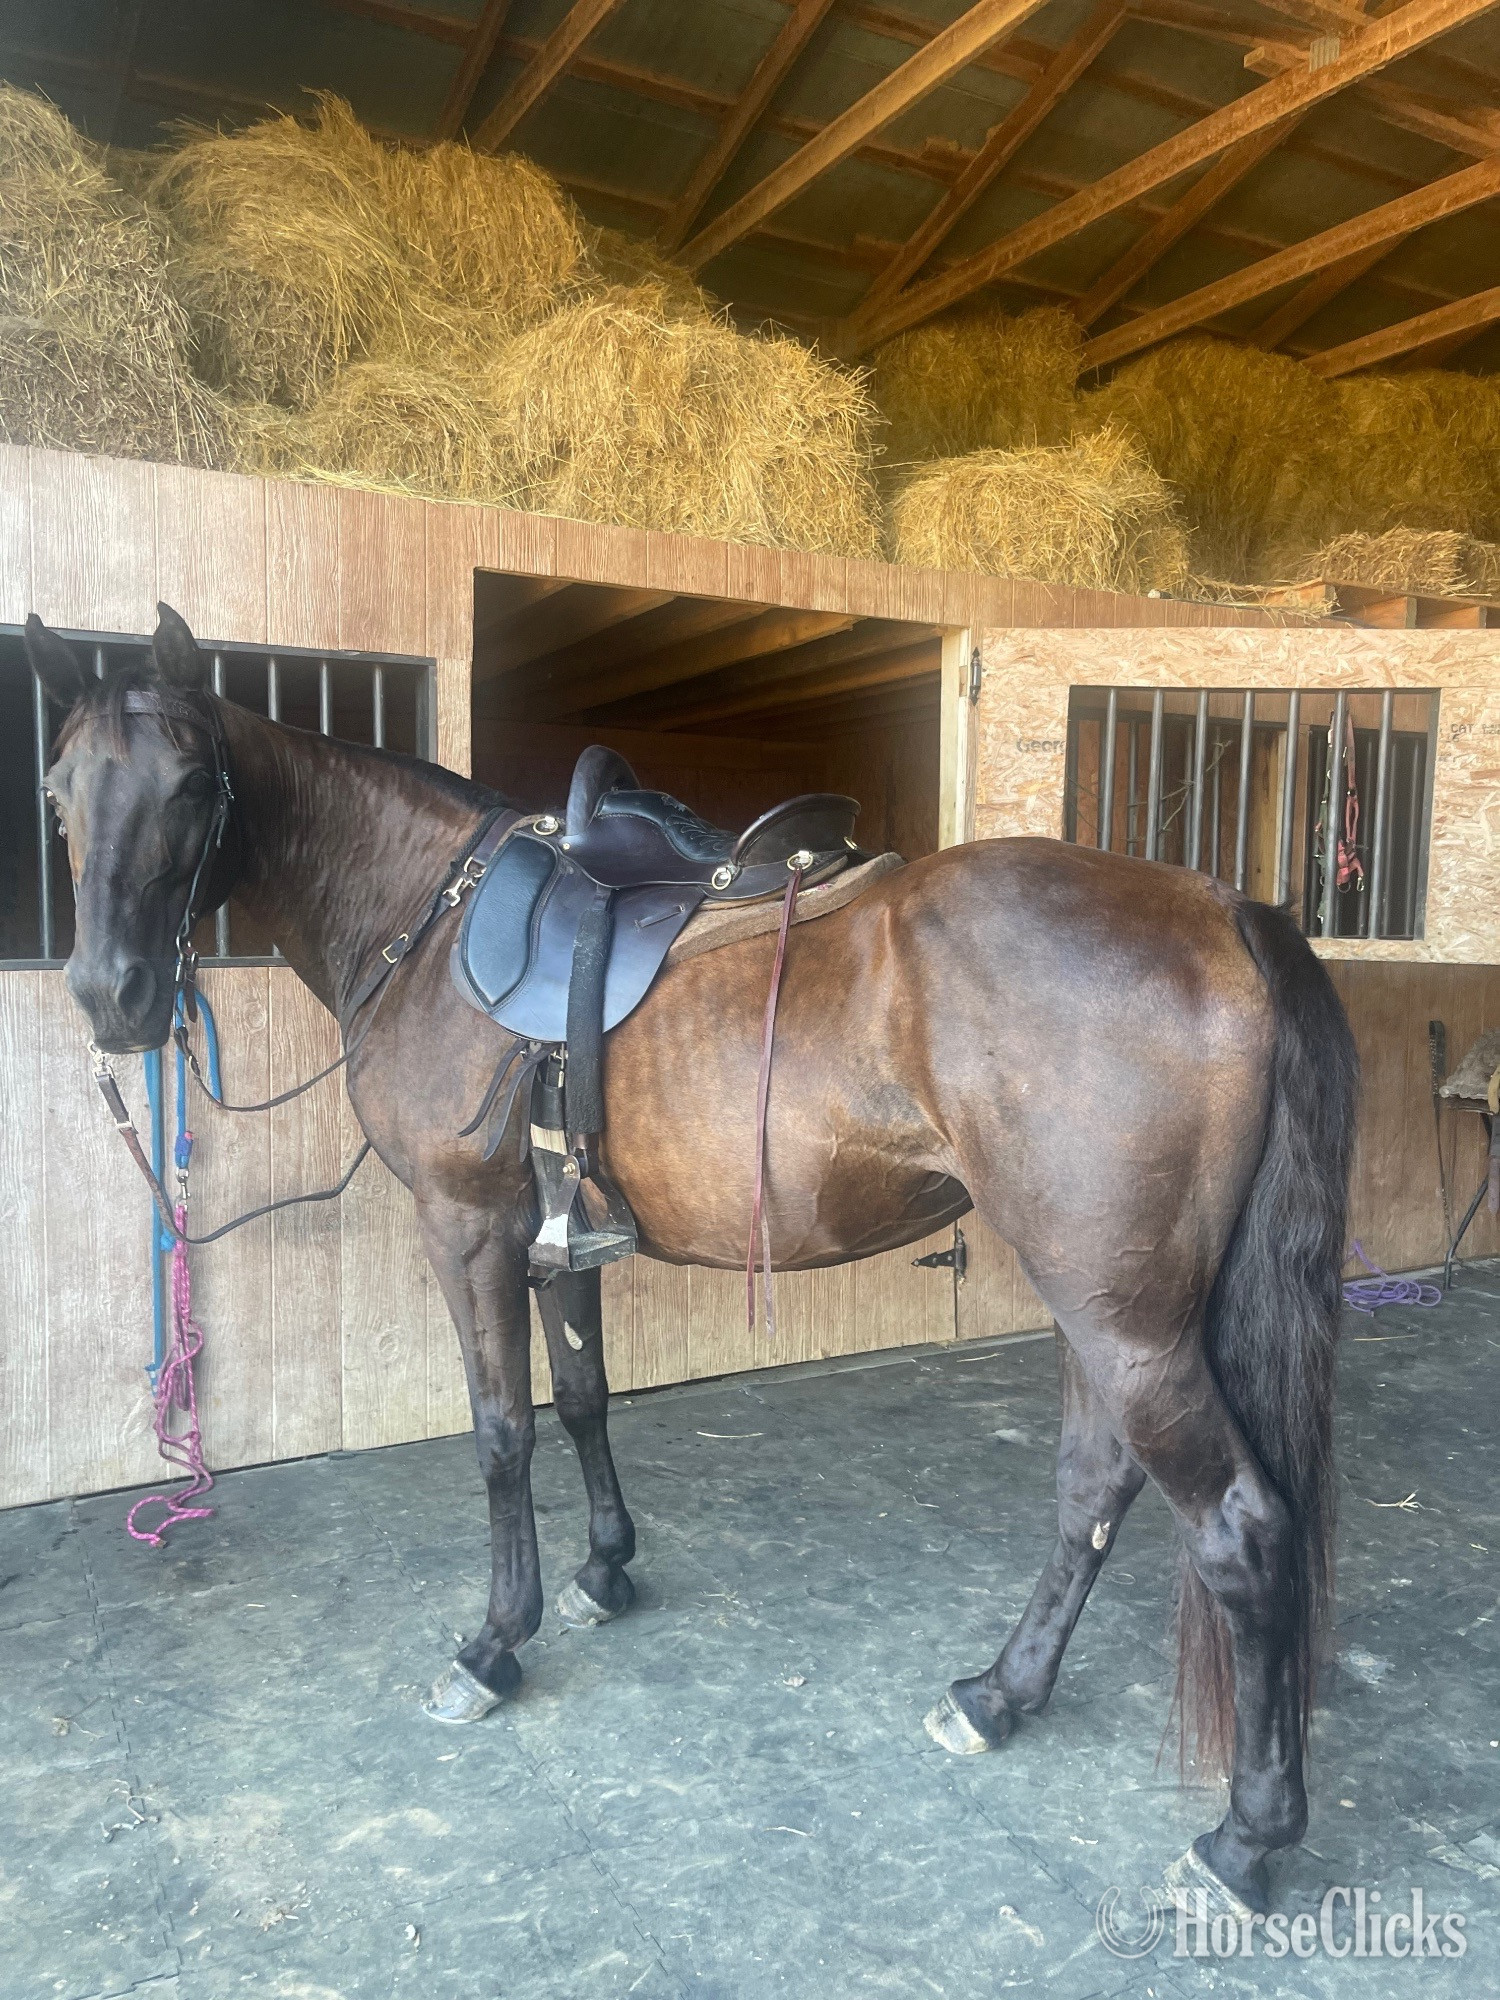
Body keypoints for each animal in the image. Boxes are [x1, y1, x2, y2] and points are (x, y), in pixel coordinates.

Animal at [25, 603, 1358, 1918]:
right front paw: (606, 1569)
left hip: (1123, 1318)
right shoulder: (558, 1232)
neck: (428, 919)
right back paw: (997, 1695)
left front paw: (495, 1642)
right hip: (1102, 1303)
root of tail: (1217, 907)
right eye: (56, 788)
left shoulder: (468, 1227)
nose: (110, 995)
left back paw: (1246, 1837)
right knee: (1094, 1486)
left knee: (1239, 1529)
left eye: (192, 783)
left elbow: (501, 1430)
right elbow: (581, 1396)